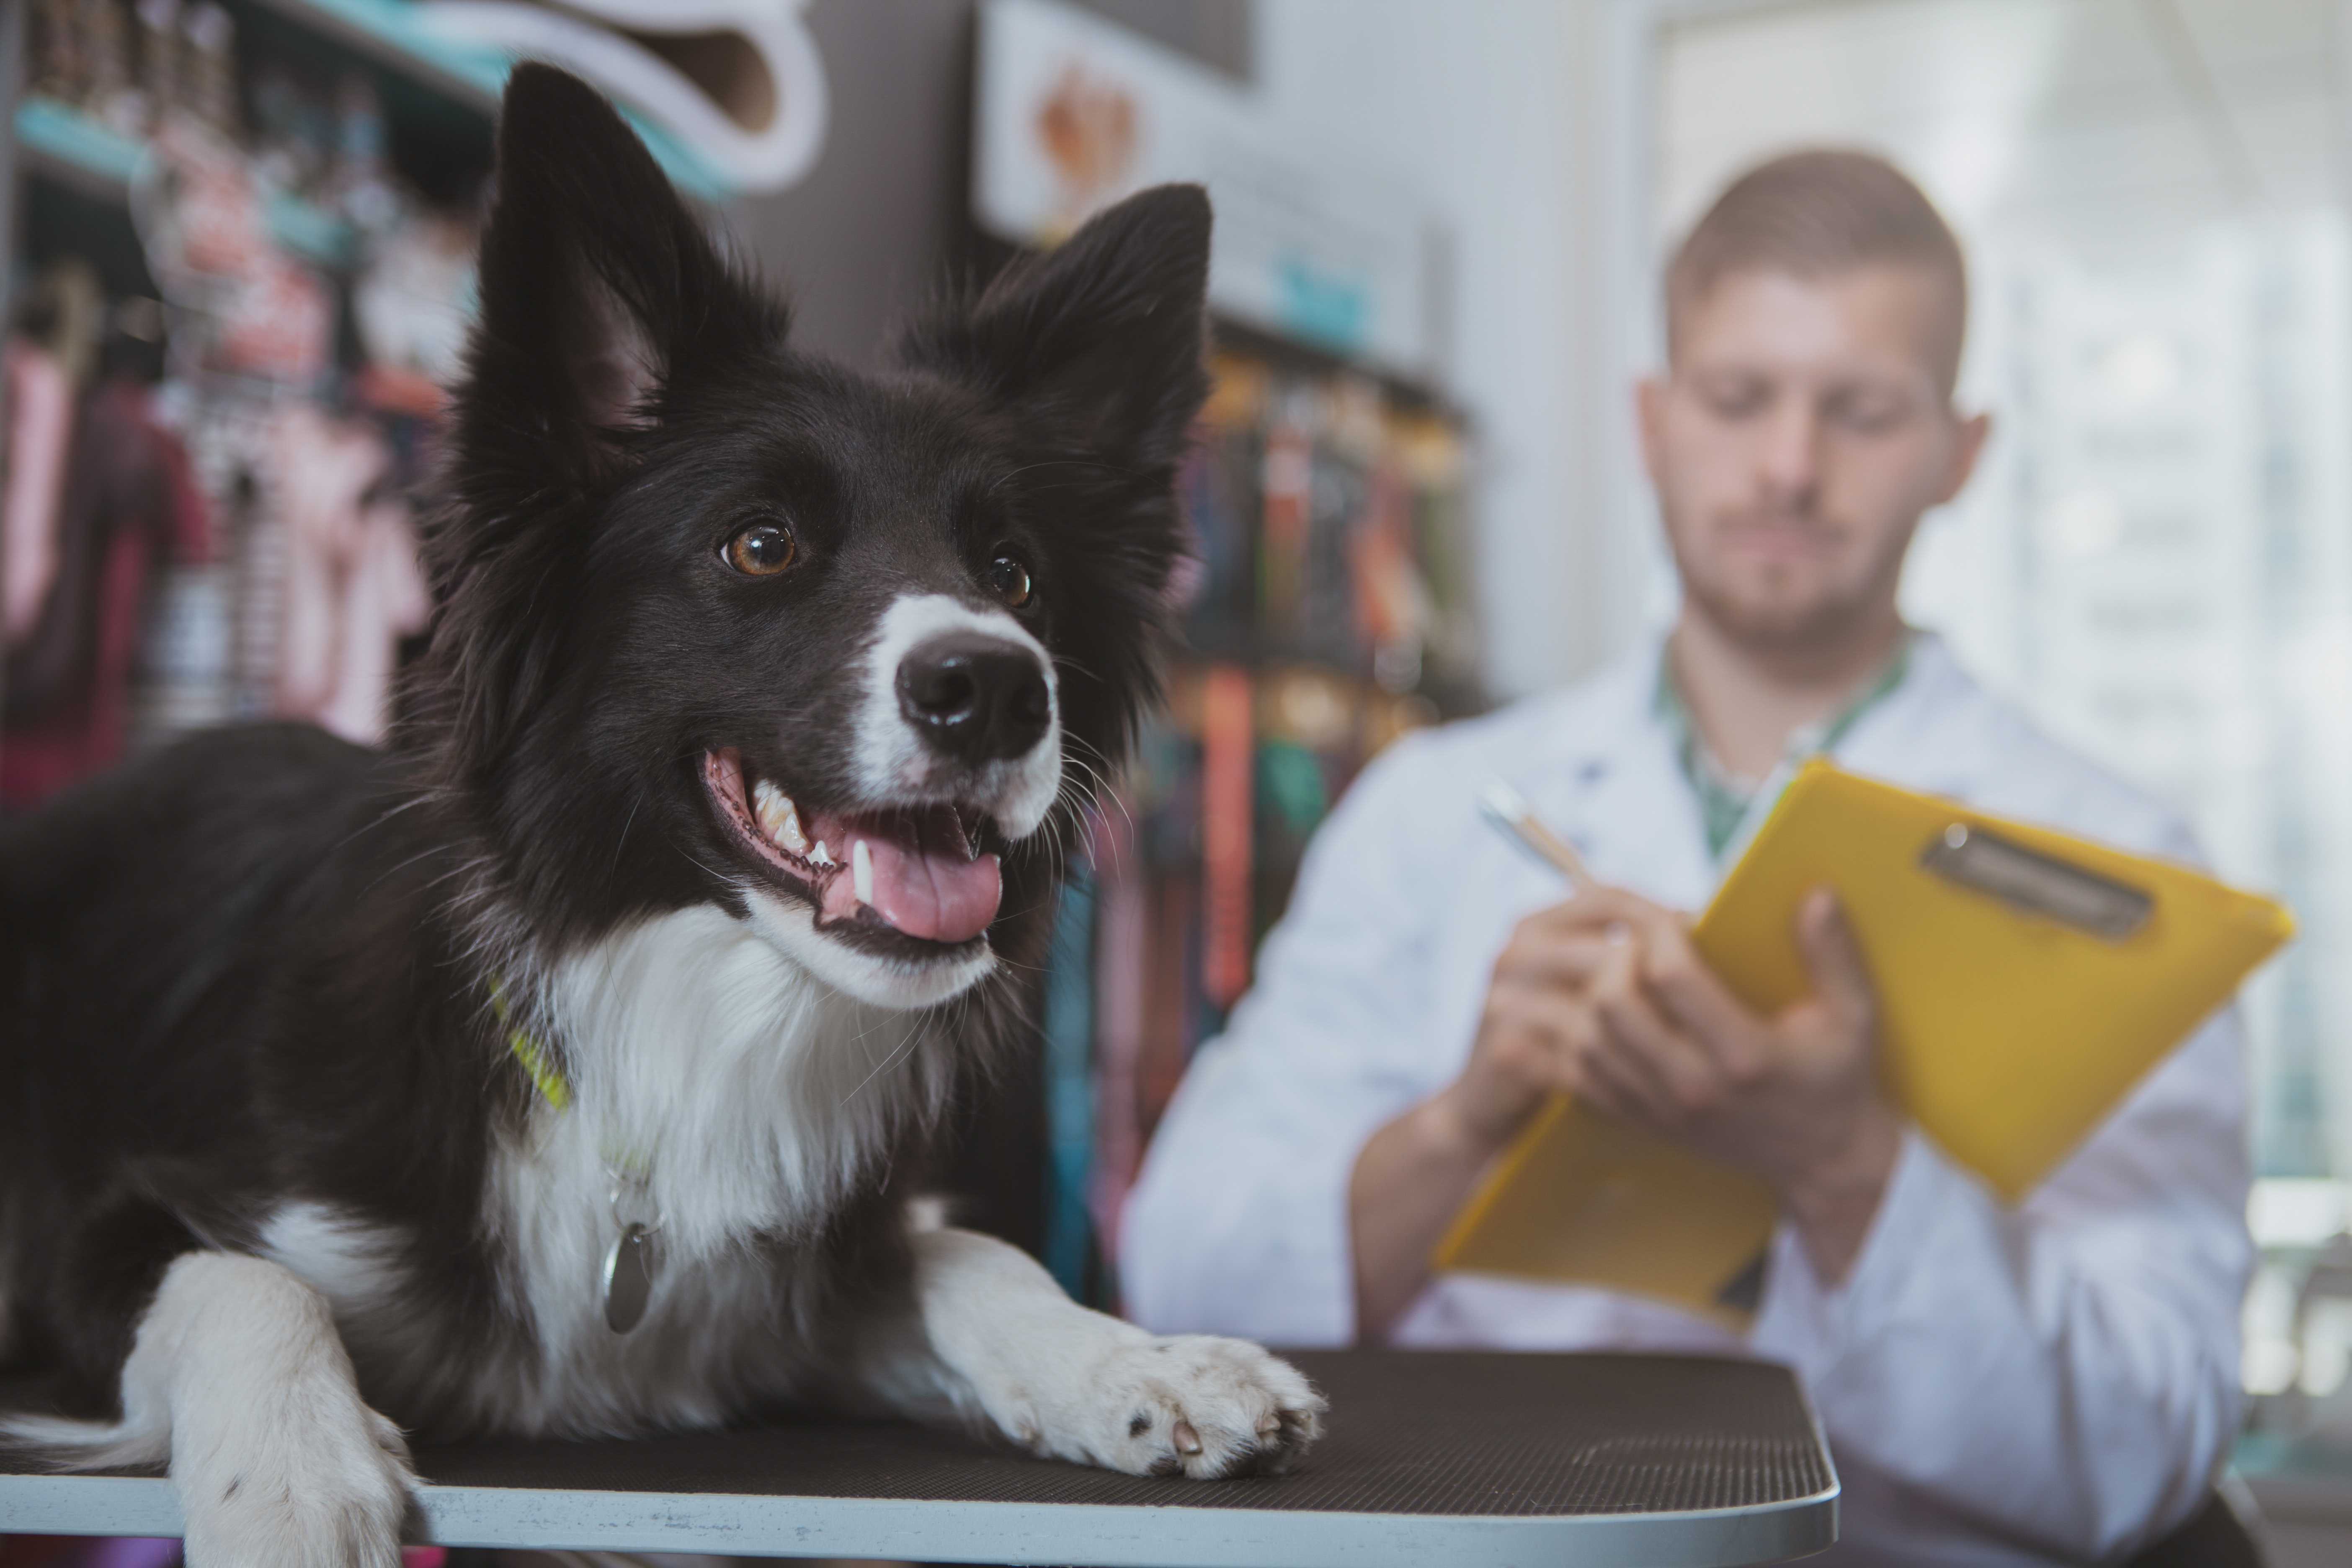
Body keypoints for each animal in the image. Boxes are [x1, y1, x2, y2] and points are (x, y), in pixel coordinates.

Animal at [0, 64, 1326, 1568]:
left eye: (1015, 573)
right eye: (761, 544)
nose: (996, 687)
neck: (669, 1015)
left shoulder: (784, 1281)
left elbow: (966, 1248)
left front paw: (1142, 1361)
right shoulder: (101, 1229)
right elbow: (235, 1278)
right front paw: (290, 1479)